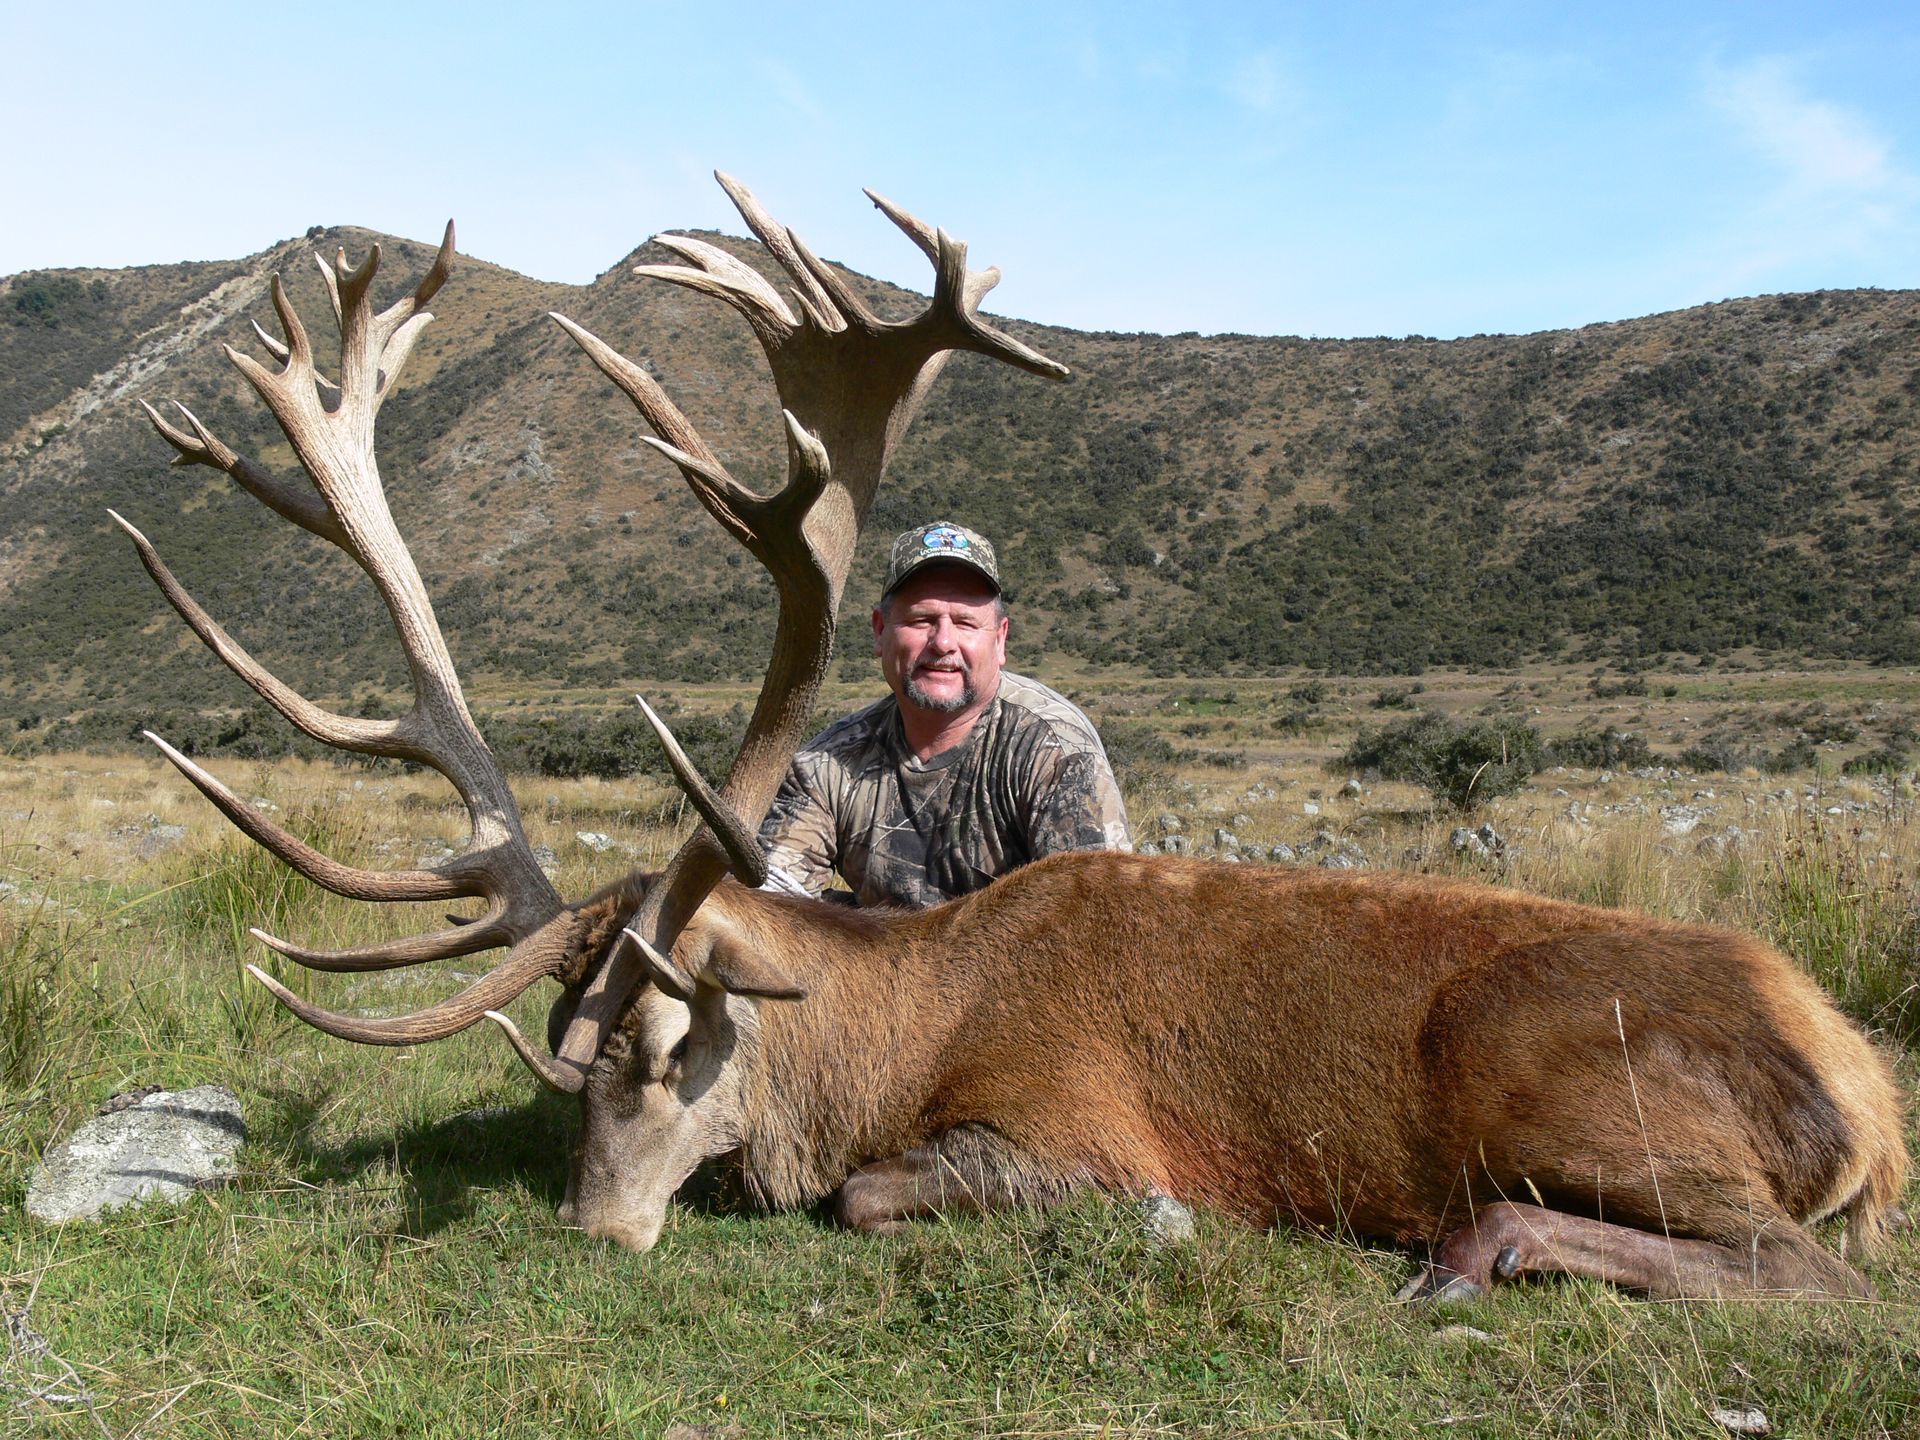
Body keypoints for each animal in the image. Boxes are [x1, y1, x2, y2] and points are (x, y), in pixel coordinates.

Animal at [116, 175, 1907, 1304]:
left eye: (656, 1046)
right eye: (560, 1052)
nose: (590, 1231)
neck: (893, 1034)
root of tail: (1861, 1090)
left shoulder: (1074, 1126)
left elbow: (874, 1193)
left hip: (1581, 1093)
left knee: (1799, 1267)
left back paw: (1477, 1251)